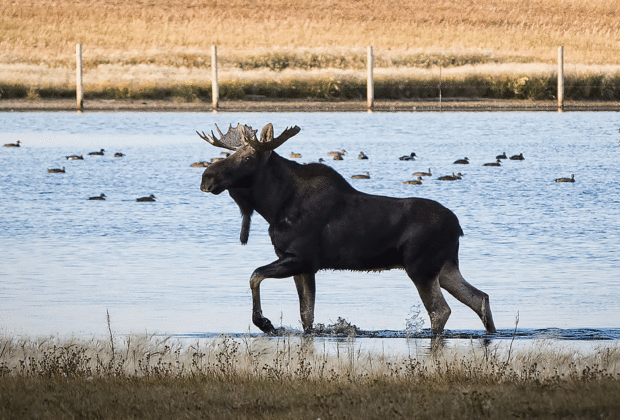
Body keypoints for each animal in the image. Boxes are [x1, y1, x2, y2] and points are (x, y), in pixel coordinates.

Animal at [196, 123, 496, 336]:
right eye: (230, 153)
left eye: (248, 157)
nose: (206, 177)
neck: (274, 206)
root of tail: (458, 227)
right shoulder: (303, 265)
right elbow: (307, 316)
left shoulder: (300, 258)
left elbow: (254, 276)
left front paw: (264, 322)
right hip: (444, 267)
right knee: (480, 297)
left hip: (421, 267)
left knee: (441, 310)